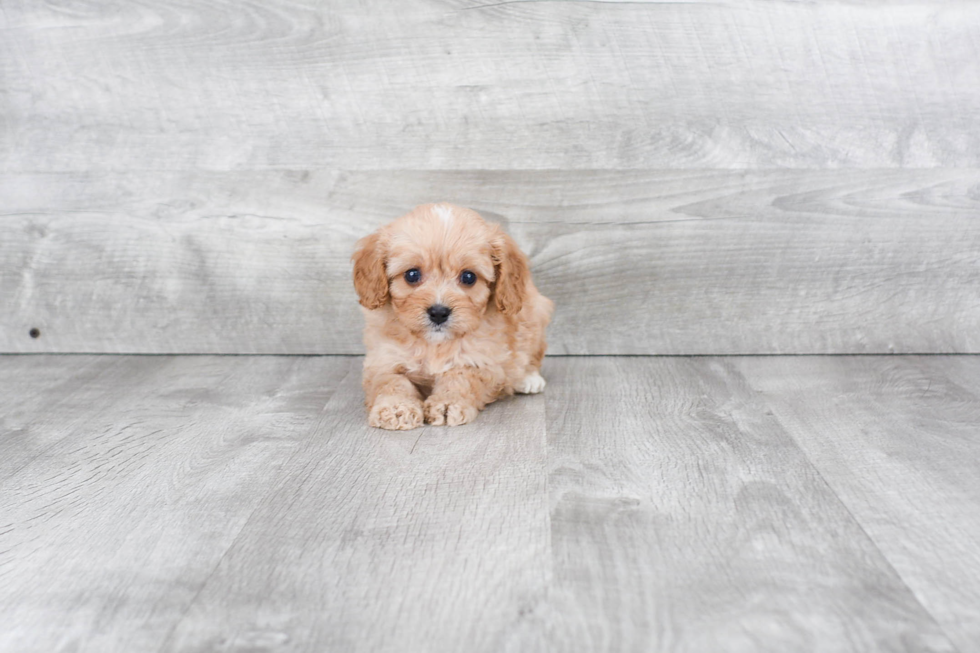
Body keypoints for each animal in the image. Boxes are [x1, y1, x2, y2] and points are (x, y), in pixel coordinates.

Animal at [350, 202, 552, 428]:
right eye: (412, 274)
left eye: (469, 277)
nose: (438, 313)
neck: (434, 344)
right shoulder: (384, 359)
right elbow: (391, 382)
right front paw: (396, 408)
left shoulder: (481, 361)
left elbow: (459, 378)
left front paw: (447, 404)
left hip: (534, 314)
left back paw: (529, 379)